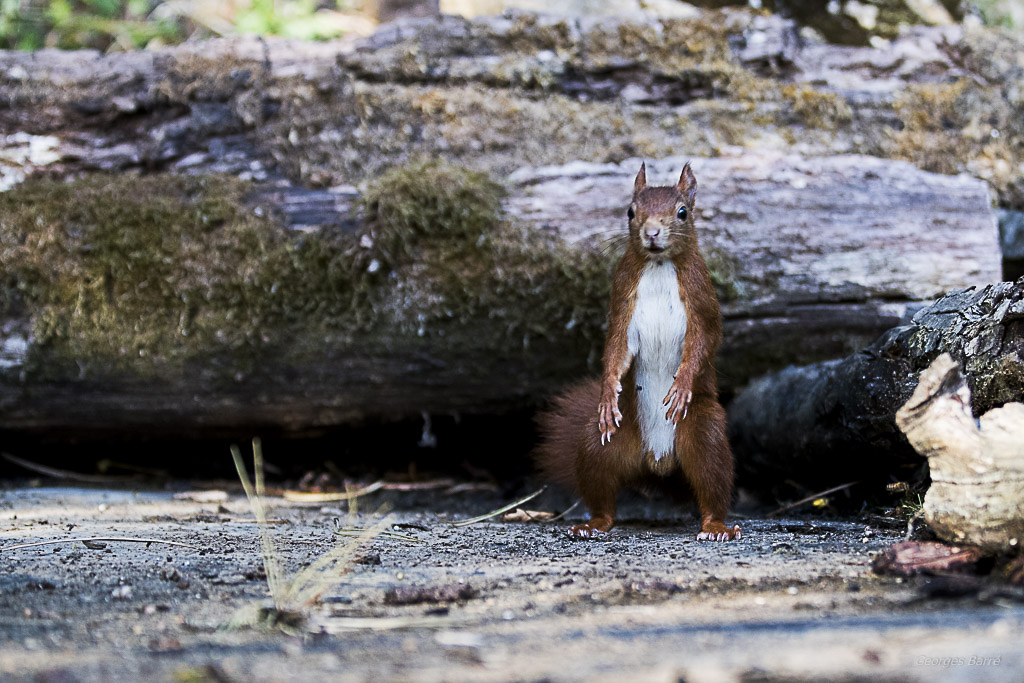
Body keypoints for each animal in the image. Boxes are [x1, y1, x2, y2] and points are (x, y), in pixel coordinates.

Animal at [536, 162, 745, 540]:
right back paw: (592, 524)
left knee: (712, 482)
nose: (651, 232)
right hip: (601, 445)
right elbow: (616, 348)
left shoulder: (702, 299)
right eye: (630, 211)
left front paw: (681, 384)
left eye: (682, 212)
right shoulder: (622, 299)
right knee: (601, 492)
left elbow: (704, 341)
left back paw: (717, 526)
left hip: (703, 432)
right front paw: (607, 393)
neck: (659, 266)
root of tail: (655, 463)